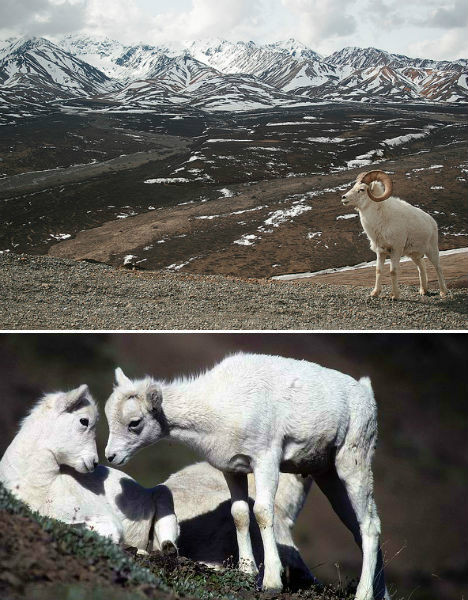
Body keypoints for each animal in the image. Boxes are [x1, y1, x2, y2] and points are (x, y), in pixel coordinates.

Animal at [106, 352, 392, 600]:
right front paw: (247, 571)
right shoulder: (233, 470)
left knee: (370, 525)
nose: (110, 456)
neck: (220, 406)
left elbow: (263, 512)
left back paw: (364, 594)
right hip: (328, 476)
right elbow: (240, 514)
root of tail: (365, 393)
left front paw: (271, 582)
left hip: (353, 464)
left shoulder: (266, 461)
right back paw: (381, 594)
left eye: (134, 423)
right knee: (358, 528)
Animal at [342, 169, 448, 300]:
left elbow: (393, 271)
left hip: (432, 250)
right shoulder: (381, 252)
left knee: (438, 267)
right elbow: (378, 270)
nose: (343, 197)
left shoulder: (396, 250)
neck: (380, 220)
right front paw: (375, 293)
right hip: (414, 254)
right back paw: (423, 290)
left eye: (361, 189)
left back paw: (443, 292)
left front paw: (395, 295)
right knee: (421, 267)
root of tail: (432, 221)